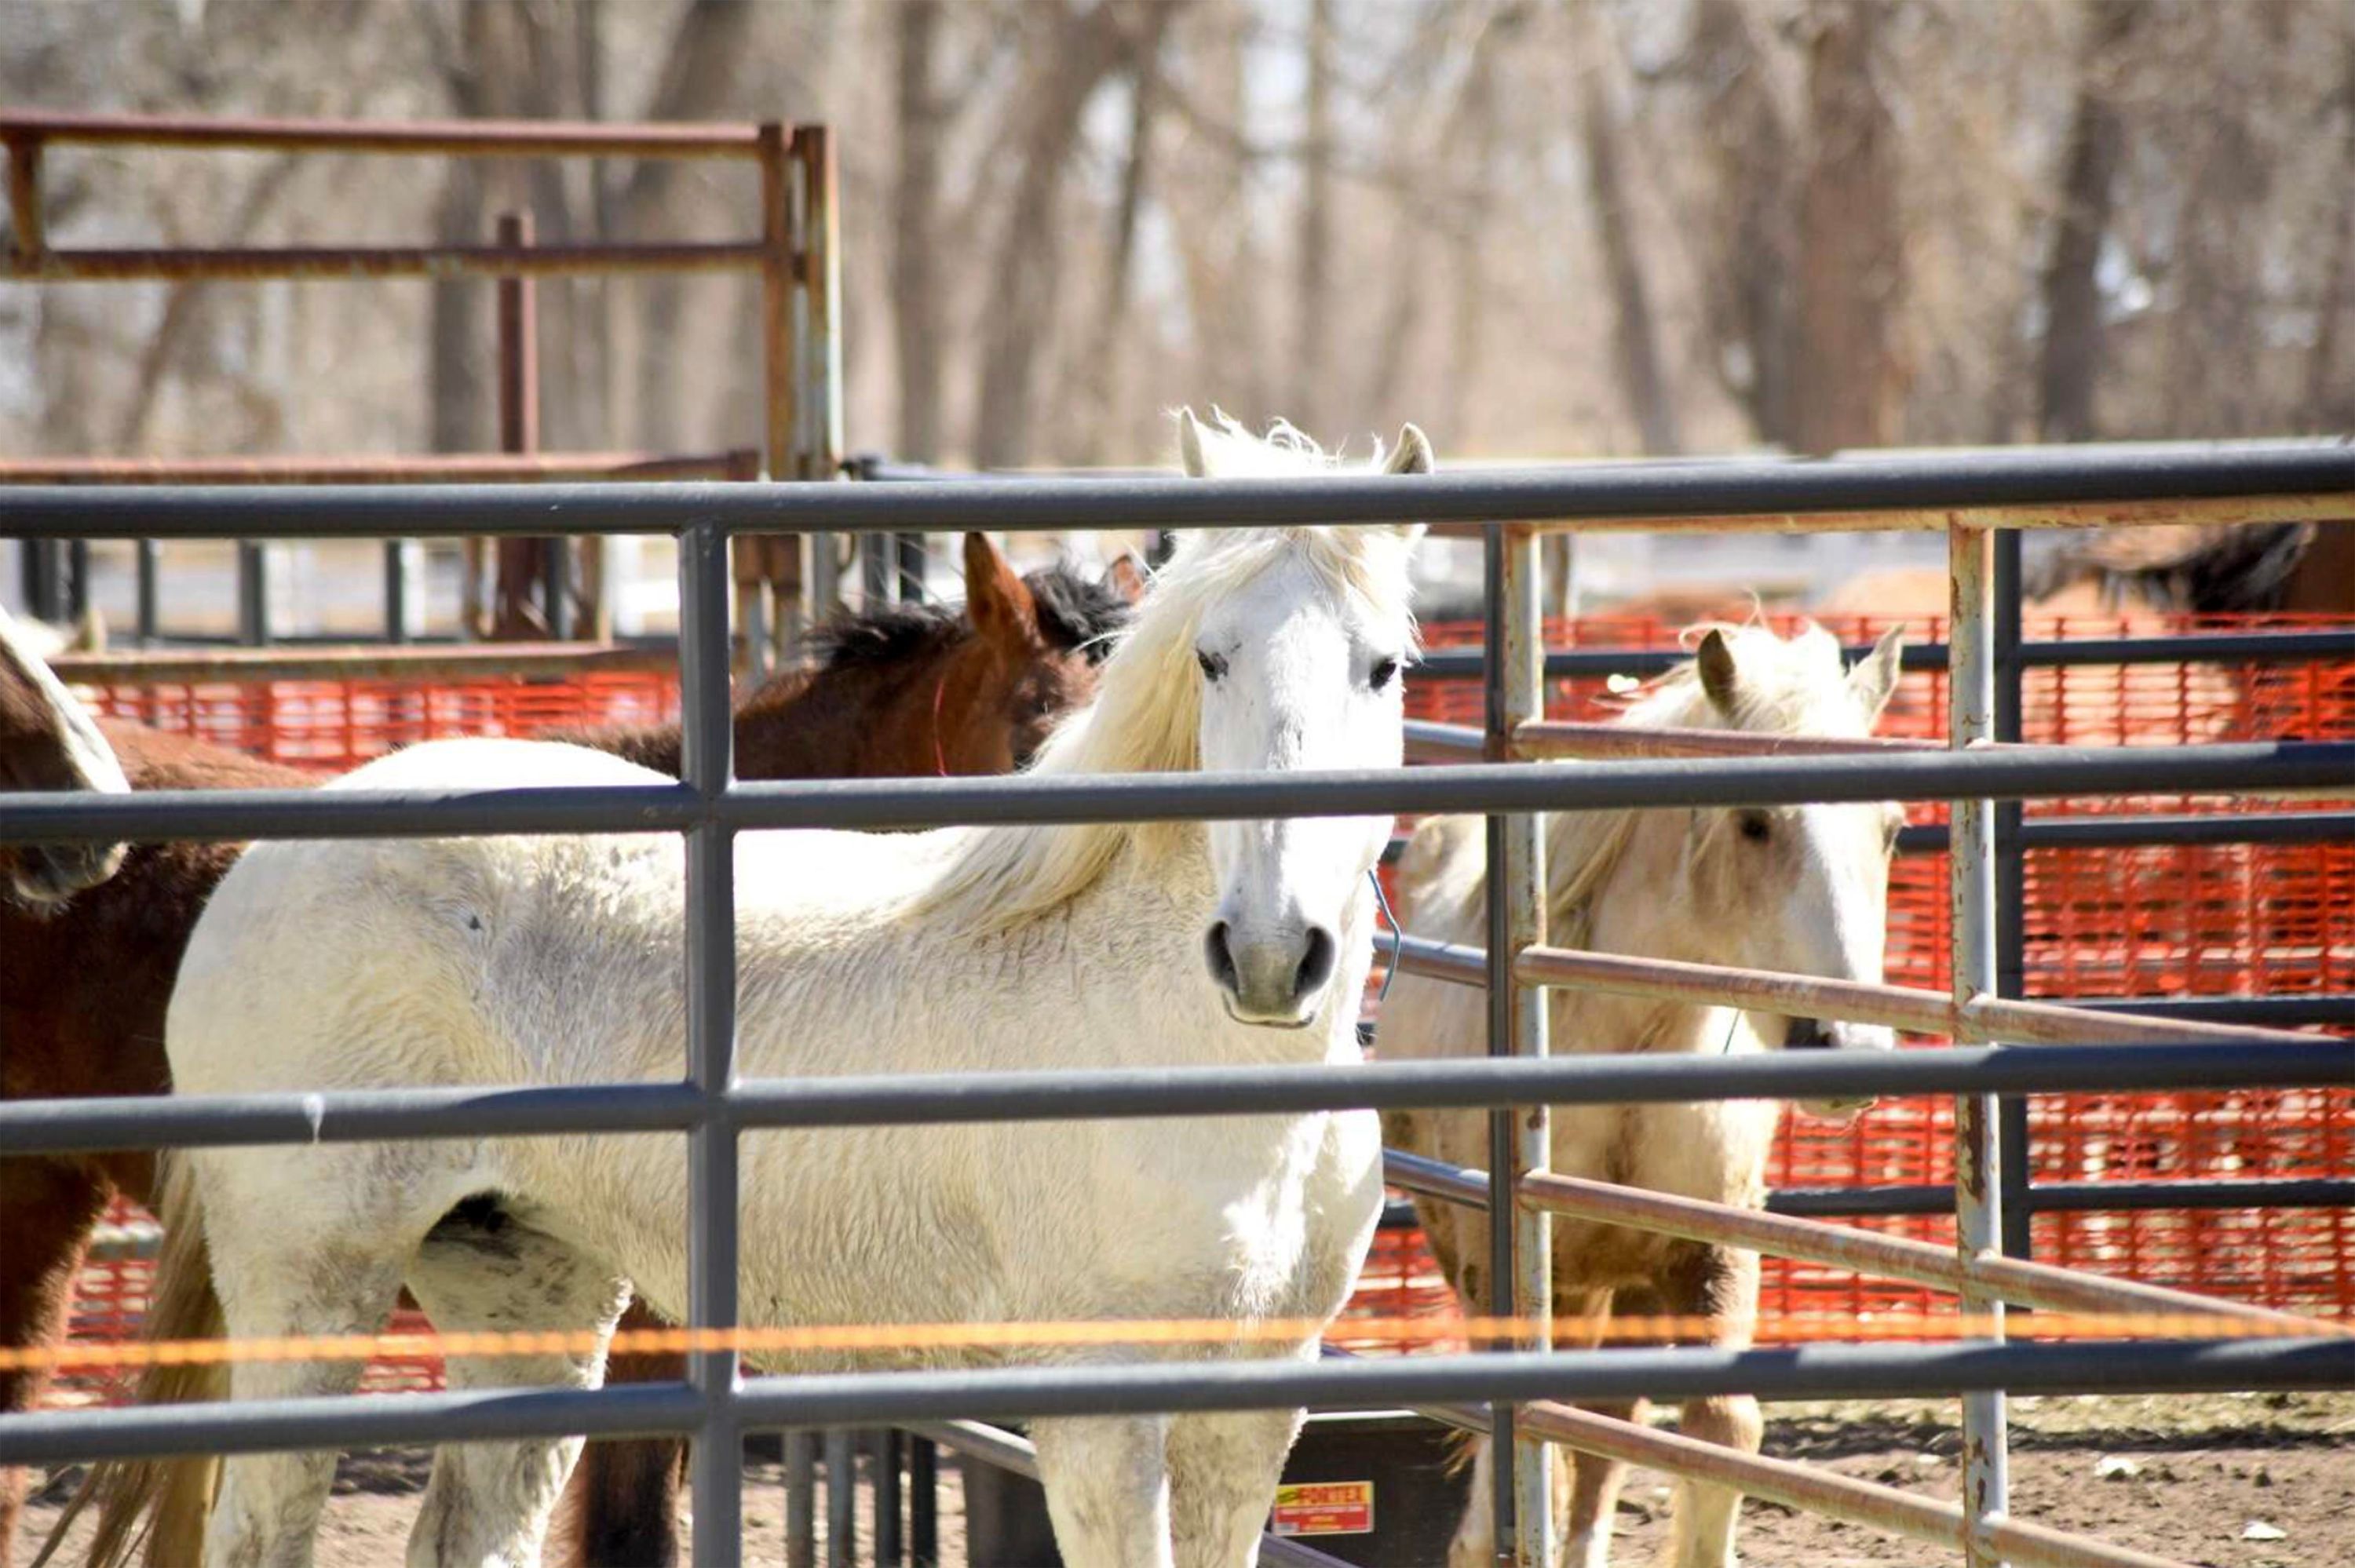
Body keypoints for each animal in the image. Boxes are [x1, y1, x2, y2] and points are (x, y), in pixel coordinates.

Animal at [1377, 621, 1906, 1568]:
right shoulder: (1508, 1273)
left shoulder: (1711, 1255)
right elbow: (1521, 1468)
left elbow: (1719, 1430)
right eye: (1754, 822)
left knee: (1605, 1433)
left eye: (1889, 829)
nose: (1847, 1044)